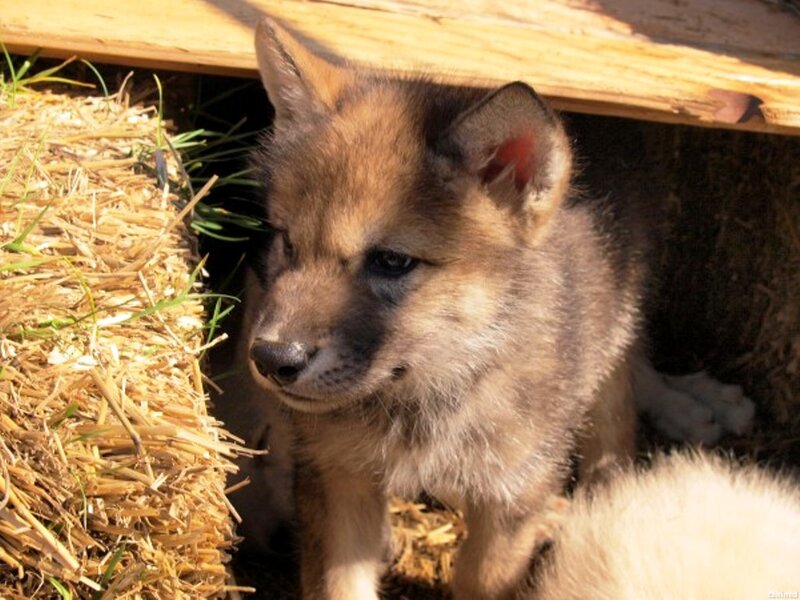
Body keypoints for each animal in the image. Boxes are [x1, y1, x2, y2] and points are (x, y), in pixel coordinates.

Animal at [235, 17, 753, 599]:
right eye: (287, 242)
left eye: (392, 261)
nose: (272, 358)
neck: (431, 392)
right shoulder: (336, 477)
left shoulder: (511, 493)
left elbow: (479, 575)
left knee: (616, 419)